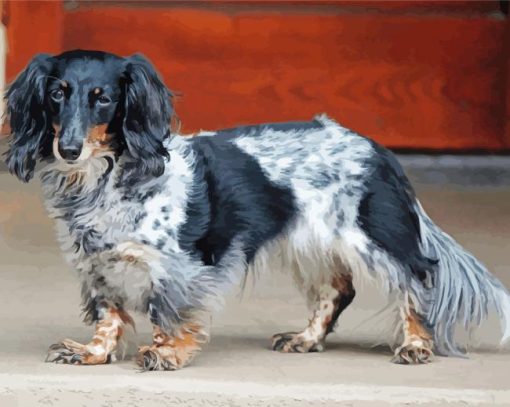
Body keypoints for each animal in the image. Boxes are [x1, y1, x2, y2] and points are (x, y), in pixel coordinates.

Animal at [4, 49, 510, 372]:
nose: (68, 149)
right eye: (57, 94)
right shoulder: (95, 266)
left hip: (375, 237)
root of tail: (376, 148)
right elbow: (108, 316)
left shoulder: (180, 268)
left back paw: (415, 345)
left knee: (419, 281)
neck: (104, 181)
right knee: (337, 292)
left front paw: (166, 354)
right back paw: (306, 340)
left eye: (103, 98)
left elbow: (168, 313)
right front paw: (93, 352)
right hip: (312, 244)